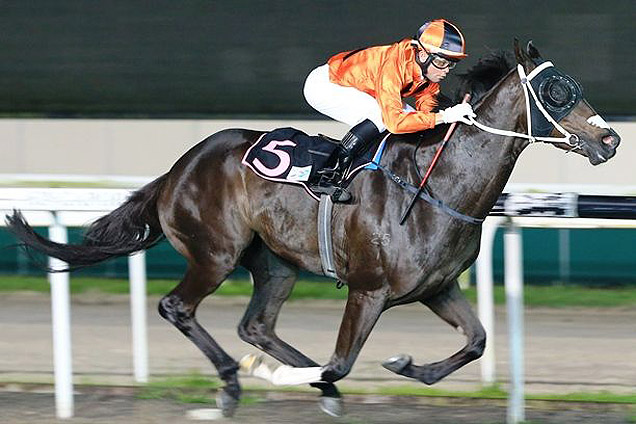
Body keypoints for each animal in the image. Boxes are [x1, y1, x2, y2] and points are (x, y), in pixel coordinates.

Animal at [6, 40, 620, 418]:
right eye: (557, 91)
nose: (611, 139)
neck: (435, 186)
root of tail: (178, 168)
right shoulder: (369, 290)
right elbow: (341, 359)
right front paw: (282, 376)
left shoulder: (437, 287)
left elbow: (475, 342)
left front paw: (405, 365)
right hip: (216, 253)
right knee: (179, 307)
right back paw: (233, 382)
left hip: (275, 263)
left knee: (256, 325)